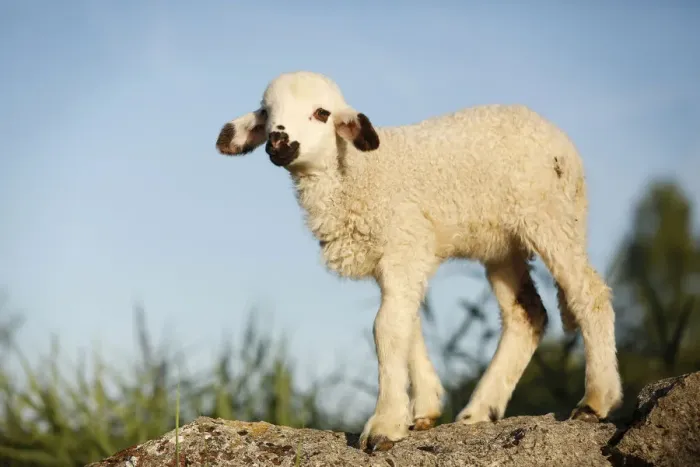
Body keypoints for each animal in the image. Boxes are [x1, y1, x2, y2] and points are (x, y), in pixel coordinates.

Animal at [214, 70, 623, 452]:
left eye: (322, 113)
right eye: (267, 113)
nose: (278, 142)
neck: (359, 174)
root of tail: (558, 138)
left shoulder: (404, 244)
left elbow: (386, 328)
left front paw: (383, 426)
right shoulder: (398, 254)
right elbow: (405, 325)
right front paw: (423, 409)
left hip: (549, 216)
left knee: (589, 293)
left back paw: (595, 401)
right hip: (501, 243)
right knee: (527, 313)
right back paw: (478, 412)